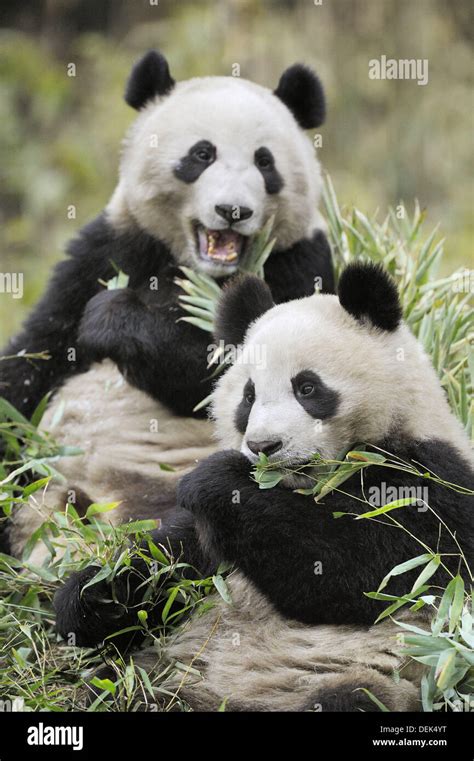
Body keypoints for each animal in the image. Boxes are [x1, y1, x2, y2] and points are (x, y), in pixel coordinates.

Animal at [1, 47, 336, 560]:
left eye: (265, 162)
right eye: (202, 154)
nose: (234, 211)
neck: (200, 272)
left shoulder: (299, 261)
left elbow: (230, 375)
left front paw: (112, 318)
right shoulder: (113, 248)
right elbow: (36, 356)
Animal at [54, 262, 474, 712]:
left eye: (307, 388)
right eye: (248, 396)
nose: (263, 446)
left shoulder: (431, 480)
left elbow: (373, 571)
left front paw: (216, 480)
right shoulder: (208, 542)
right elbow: (172, 560)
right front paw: (95, 597)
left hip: (357, 676)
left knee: (349, 697)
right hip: (167, 670)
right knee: (112, 688)